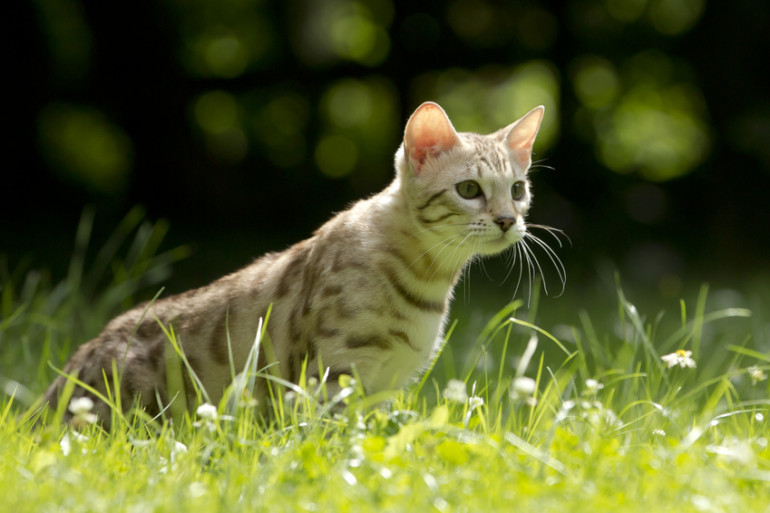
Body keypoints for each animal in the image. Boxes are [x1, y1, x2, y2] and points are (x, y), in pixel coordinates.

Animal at [40, 101, 544, 428]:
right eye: (469, 190)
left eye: (518, 189)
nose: (508, 220)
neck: (428, 279)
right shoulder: (332, 375)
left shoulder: (382, 386)